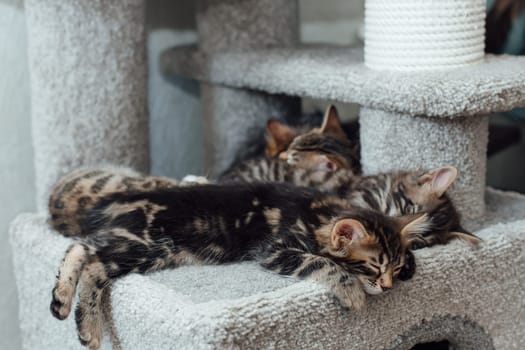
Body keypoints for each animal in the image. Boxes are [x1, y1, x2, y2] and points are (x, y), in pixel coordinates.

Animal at [49, 182, 426, 348]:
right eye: (373, 267)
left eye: (394, 268)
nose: (387, 286)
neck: (317, 213)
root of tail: (112, 203)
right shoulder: (275, 249)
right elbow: (323, 262)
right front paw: (351, 291)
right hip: (144, 244)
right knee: (94, 267)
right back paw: (88, 328)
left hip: (145, 248)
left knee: (80, 247)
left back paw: (60, 301)